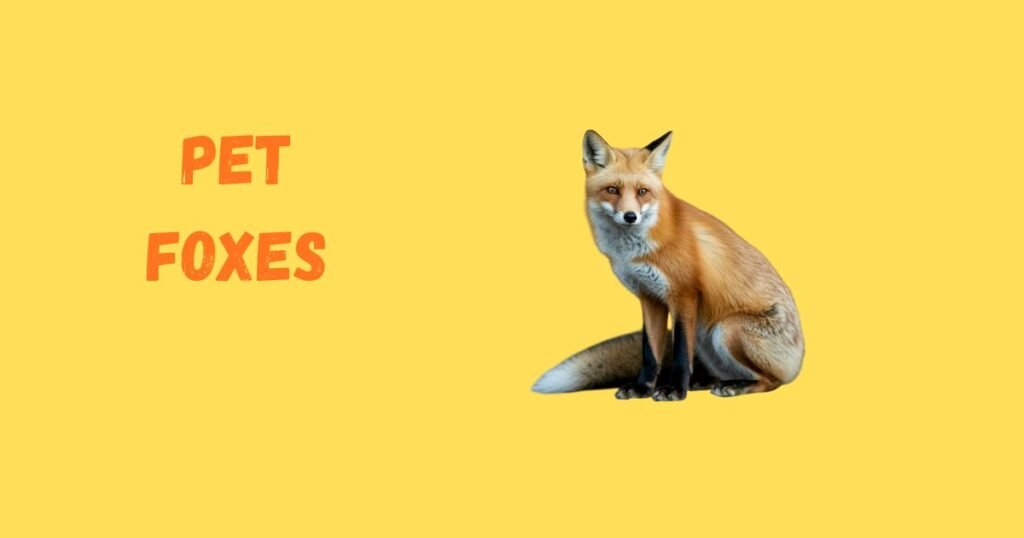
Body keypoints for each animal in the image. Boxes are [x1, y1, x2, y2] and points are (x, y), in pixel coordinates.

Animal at [532, 130, 804, 401]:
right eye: (612, 190)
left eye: (642, 191)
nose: (630, 216)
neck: (638, 250)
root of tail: (799, 361)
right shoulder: (650, 298)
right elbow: (650, 353)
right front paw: (642, 388)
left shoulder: (684, 295)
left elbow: (680, 354)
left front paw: (674, 390)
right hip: (705, 341)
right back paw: (706, 381)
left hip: (726, 329)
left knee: (771, 381)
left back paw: (736, 386)